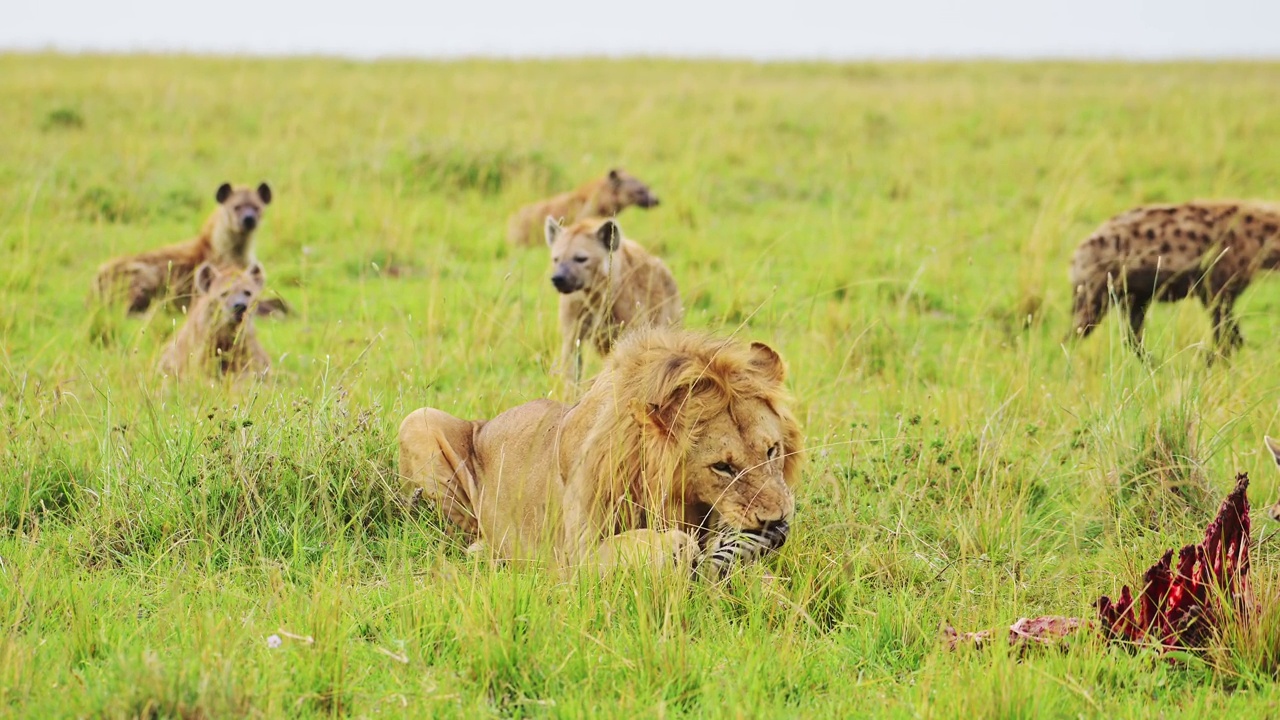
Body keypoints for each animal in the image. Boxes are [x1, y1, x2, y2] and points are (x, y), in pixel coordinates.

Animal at [394, 326, 803, 571]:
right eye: (722, 467)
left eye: (772, 451)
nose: (778, 521)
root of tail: (487, 421)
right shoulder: (574, 558)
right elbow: (661, 542)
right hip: (418, 420)